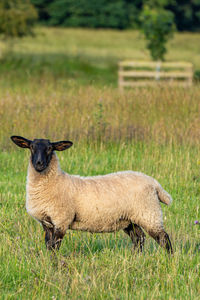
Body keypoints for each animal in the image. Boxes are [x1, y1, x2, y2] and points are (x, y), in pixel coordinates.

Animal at [10, 137, 173, 255]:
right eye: (31, 147)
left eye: (50, 148)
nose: (39, 163)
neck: (55, 181)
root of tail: (154, 183)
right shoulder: (47, 223)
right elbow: (49, 246)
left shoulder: (61, 220)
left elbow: (55, 247)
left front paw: (55, 265)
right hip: (129, 219)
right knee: (139, 238)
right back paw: (135, 258)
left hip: (149, 213)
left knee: (163, 238)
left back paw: (169, 258)